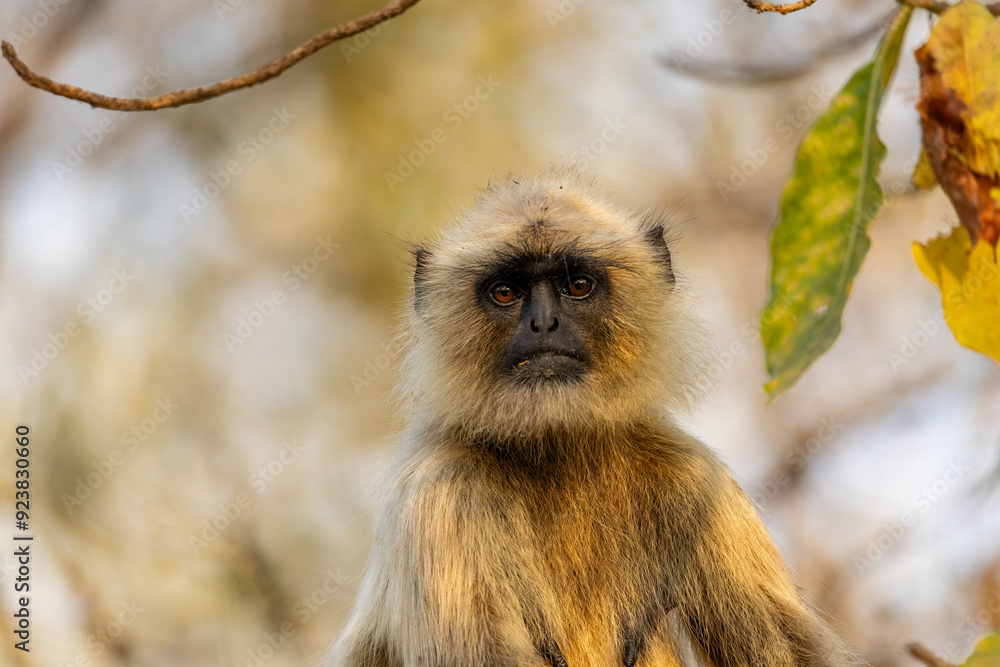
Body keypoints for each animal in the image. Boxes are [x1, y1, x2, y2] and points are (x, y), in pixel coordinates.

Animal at [327, 171, 860, 667]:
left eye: (577, 286)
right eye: (505, 293)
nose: (544, 324)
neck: (559, 451)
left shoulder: (696, 479)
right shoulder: (440, 491)